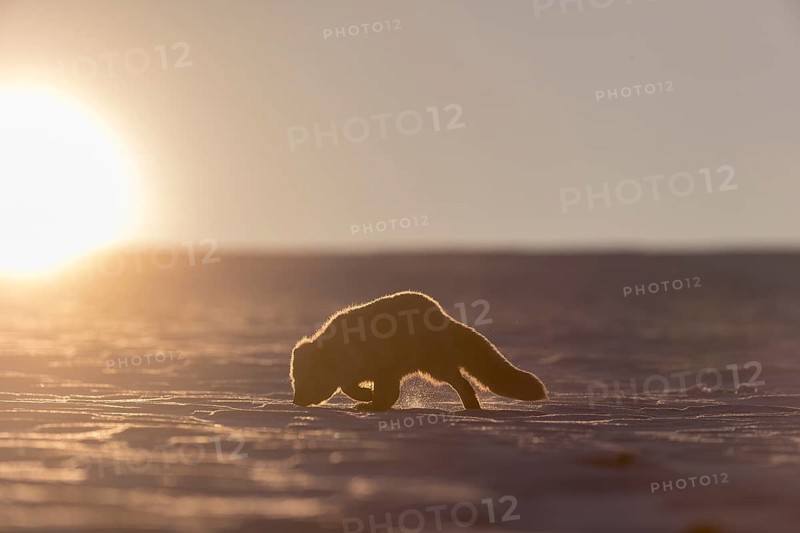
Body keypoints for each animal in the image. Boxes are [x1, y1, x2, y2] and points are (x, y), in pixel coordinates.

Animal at [290, 291, 548, 410]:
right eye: (294, 380)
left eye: (308, 379)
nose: (296, 401)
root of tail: (443, 317)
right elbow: (351, 386)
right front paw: (368, 398)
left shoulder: (383, 366)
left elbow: (374, 390)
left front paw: (368, 400)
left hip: (433, 363)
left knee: (461, 381)